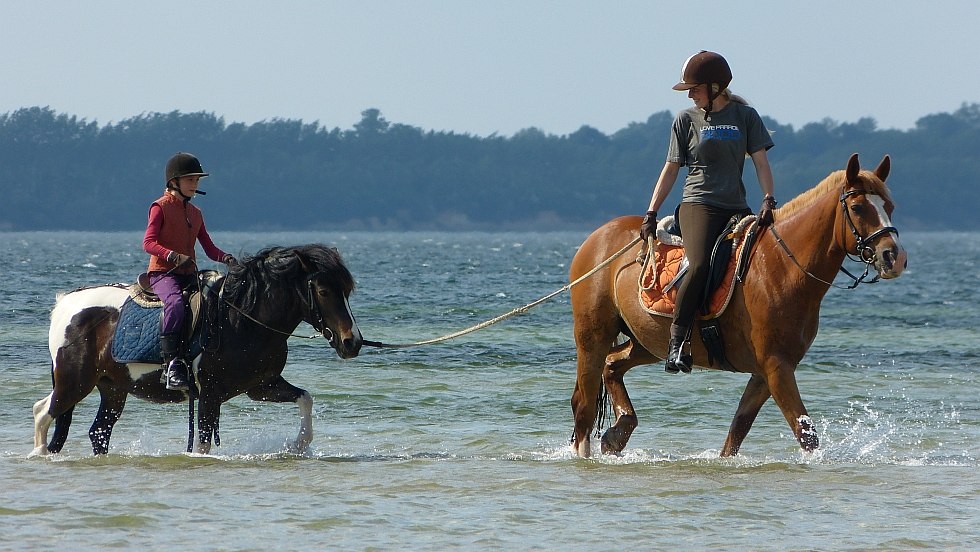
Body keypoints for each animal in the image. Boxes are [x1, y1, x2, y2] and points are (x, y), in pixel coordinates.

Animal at [32, 244, 366, 454]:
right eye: (323, 290)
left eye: (346, 291)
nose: (352, 342)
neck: (242, 319)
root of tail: (64, 304)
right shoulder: (209, 394)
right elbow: (203, 444)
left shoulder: (262, 386)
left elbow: (305, 399)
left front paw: (297, 445)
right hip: (74, 383)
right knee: (43, 413)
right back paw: (39, 455)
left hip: (112, 389)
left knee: (97, 432)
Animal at [572, 154, 908, 458]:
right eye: (858, 207)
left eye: (890, 206)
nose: (894, 257)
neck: (783, 266)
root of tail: (598, 236)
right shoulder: (777, 368)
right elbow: (806, 434)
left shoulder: (765, 373)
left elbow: (737, 431)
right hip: (592, 339)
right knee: (585, 404)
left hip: (646, 341)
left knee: (612, 366)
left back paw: (618, 432)